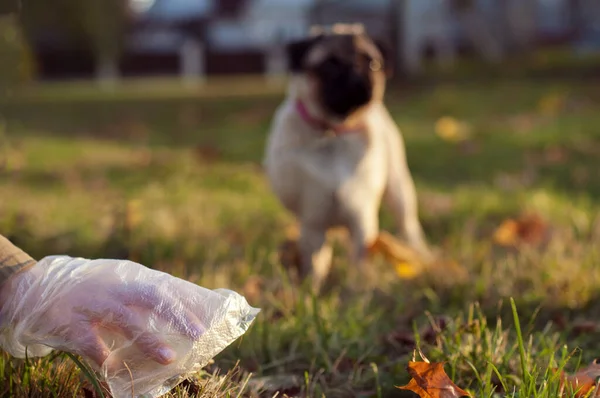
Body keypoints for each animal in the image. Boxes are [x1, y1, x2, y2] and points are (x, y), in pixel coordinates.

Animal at [262, 24, 432, 292]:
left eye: (373, 63)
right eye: (330, 64)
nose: (355, 73)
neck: (334, 130)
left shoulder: (361, 218)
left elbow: (360, 261)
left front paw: (358, 289)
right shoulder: (314, 221)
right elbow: (315, 262)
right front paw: (312, 290)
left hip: (398, 189)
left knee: (407, 225)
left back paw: (420, 252)